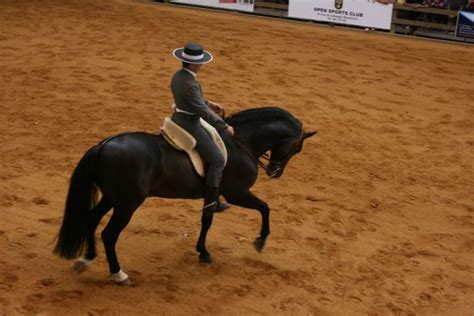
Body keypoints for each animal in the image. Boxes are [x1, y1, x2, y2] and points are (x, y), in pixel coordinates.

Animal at [53, 107, 316, 286]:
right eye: (297, 148)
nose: (275, 172)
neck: (241, 143)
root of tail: (104, 145)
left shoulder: (214, 194)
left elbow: (207, 219)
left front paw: (203, 252)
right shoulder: (237, 193)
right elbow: (264, 207)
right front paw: (260, 241)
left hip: (111, 198)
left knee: (91, 219)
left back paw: (86, 259)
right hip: (127, 204)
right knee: (109, 234)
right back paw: (119, 274)